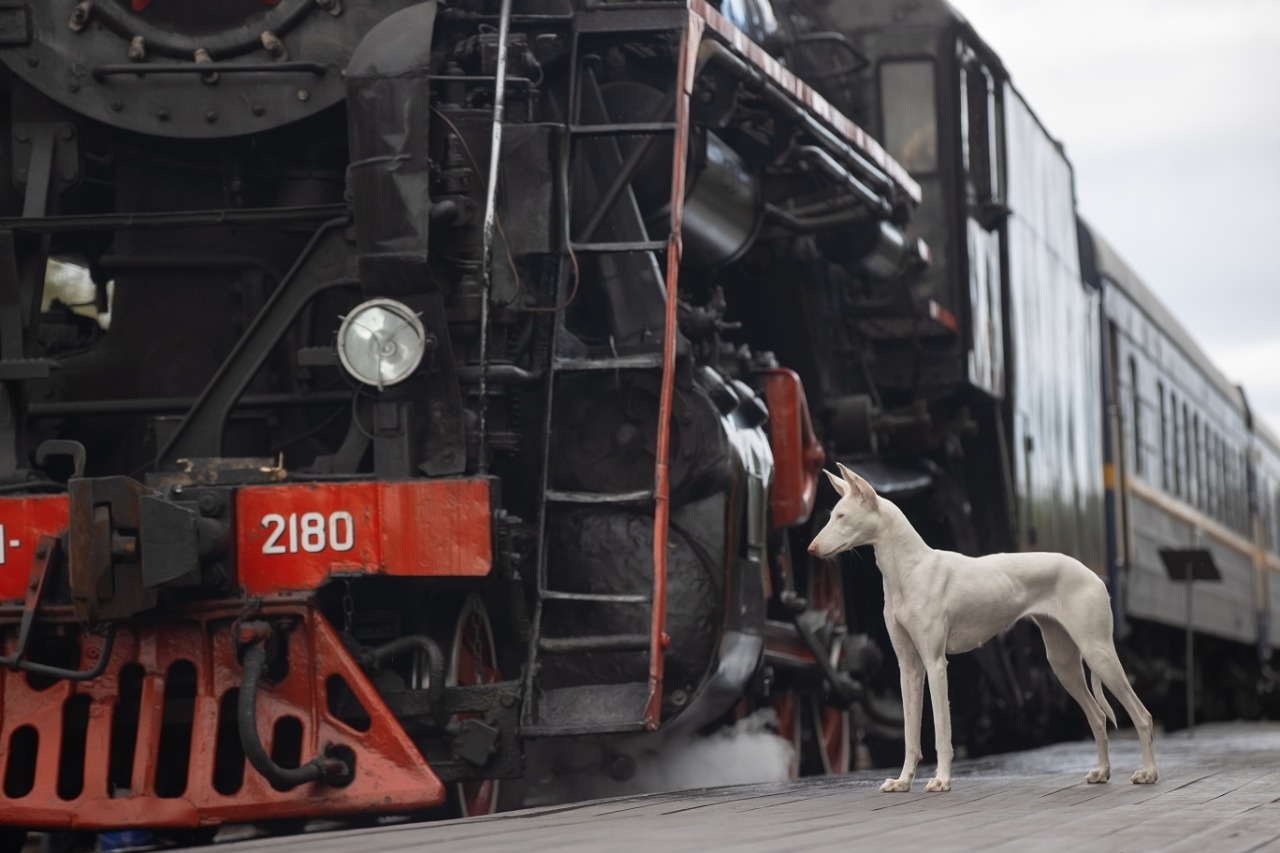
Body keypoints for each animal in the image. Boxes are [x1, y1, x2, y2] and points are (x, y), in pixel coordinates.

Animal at [808, 461, 1162, 788]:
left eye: (841, 516)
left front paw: (941, 780)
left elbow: (941, 731)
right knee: (1099, 717)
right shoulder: (909, 668)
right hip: (1063, 663)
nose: (810, 549)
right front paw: (903, 781)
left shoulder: (935, 664)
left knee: (1142, 715)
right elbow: (910, 735)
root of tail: (1094, 575)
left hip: (1097, 652)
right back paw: (1103, 772)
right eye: (831, 515)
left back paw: (1148, 772)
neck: (909, 570)